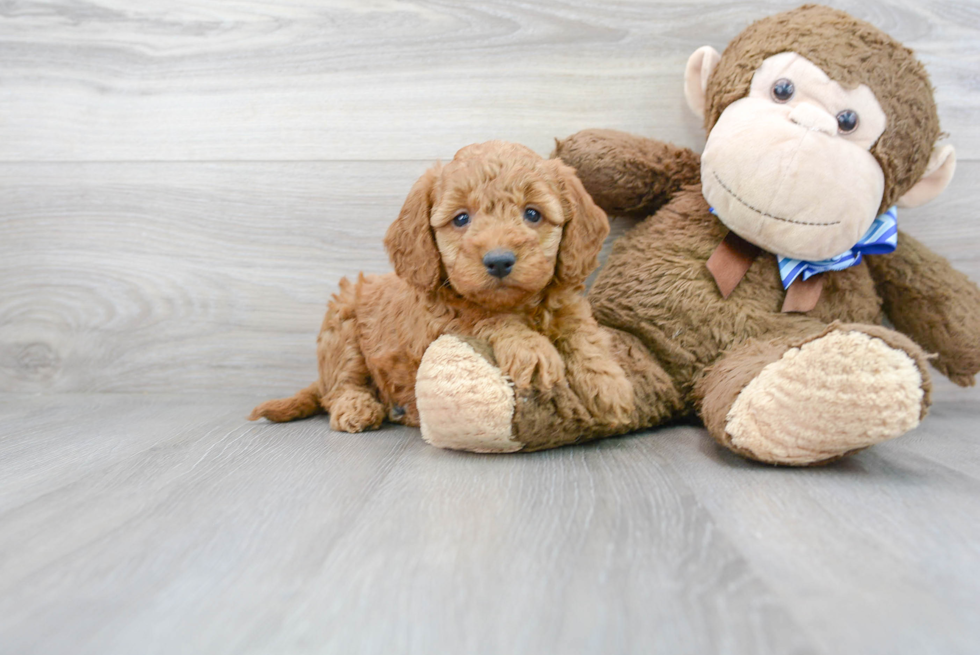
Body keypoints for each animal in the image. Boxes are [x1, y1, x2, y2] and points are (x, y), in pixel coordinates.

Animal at [251, 141, 636, 434]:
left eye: (532, 214)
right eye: (461, 218)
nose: (499, 260)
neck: (517, 304)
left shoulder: (568, 305)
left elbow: (583, 334)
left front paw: (609, 385)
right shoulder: (442, 323)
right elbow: (484, 317)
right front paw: (533, 349)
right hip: (342, 324)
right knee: (341, 385)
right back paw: (359, 407)